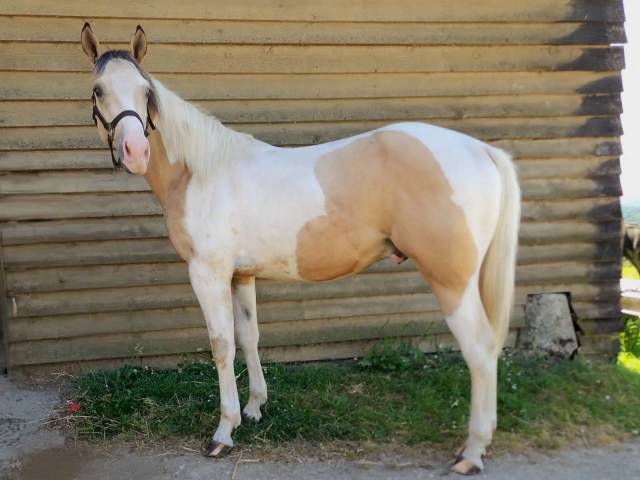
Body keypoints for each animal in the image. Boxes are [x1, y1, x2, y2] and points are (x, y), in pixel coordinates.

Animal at [80, 24, 521, 475]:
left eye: (145, 91)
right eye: (98, 90)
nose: (135, 152)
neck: (201, 171)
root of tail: (482, 150)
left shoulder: (208, 273)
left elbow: (221, 346)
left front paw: (224, 431)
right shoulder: (241, 275)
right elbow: (249, 336)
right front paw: (255, 408)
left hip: (452, 283)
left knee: (481, 352)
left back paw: (471, 452)